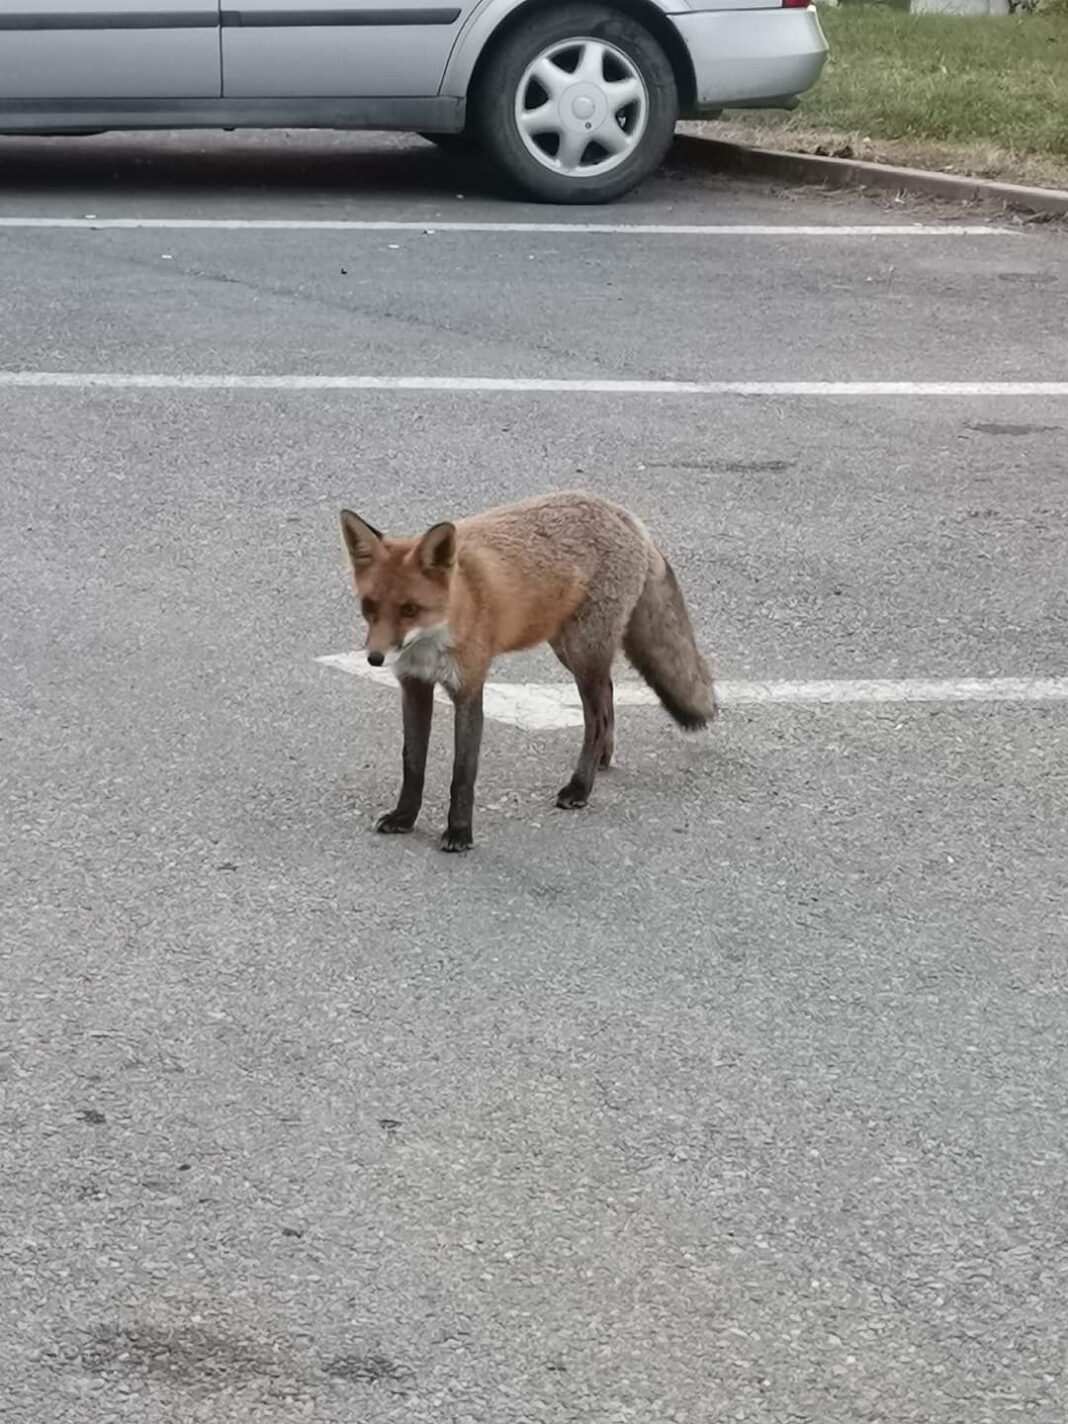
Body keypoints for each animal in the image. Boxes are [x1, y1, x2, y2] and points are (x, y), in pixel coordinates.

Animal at [338, 492, 714, 843]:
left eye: (410, 609)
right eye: (369, 606)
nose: (374, 658)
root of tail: (620, 513)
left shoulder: (469, 687)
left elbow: (463, 772)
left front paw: (459, 833)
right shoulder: (414, 685)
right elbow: (413, 762)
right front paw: (405, 817)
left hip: (581, 651)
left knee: (597, 718)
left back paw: (580, 786)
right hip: (568, 649)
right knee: (608, 695)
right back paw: (601, 760)